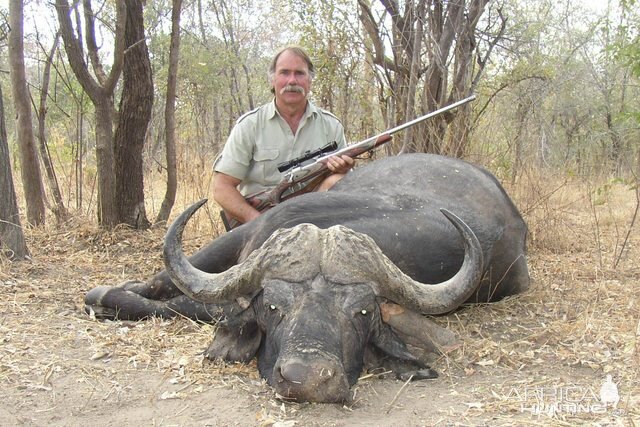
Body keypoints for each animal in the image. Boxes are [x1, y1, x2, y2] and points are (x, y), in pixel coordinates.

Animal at [86, 154, 528, 404]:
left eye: (362, 312)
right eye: (273, 306)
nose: (309, 379)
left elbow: (191, 304)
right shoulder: (255, 231)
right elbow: (169, 282)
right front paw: (108, 293)